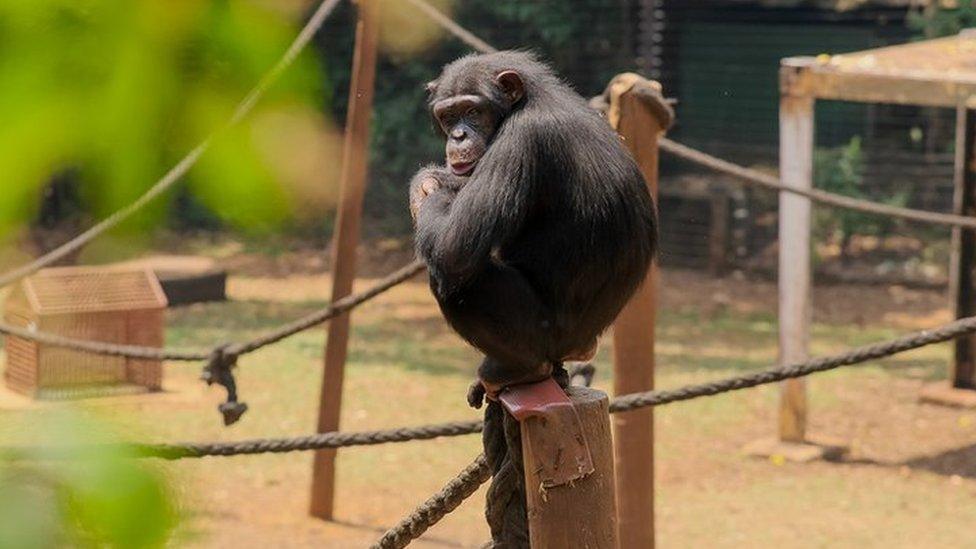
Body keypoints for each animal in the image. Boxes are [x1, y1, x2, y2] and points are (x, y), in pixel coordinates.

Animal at [408, 50, 660, 402]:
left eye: (473, 111)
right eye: (449, 116)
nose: (458, 135)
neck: (522, 105)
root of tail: (583, 345)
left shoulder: (521, 141)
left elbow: (453, 248)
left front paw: (426, 183)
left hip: (541, 334)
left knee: (459, 278)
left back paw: (517, 367)